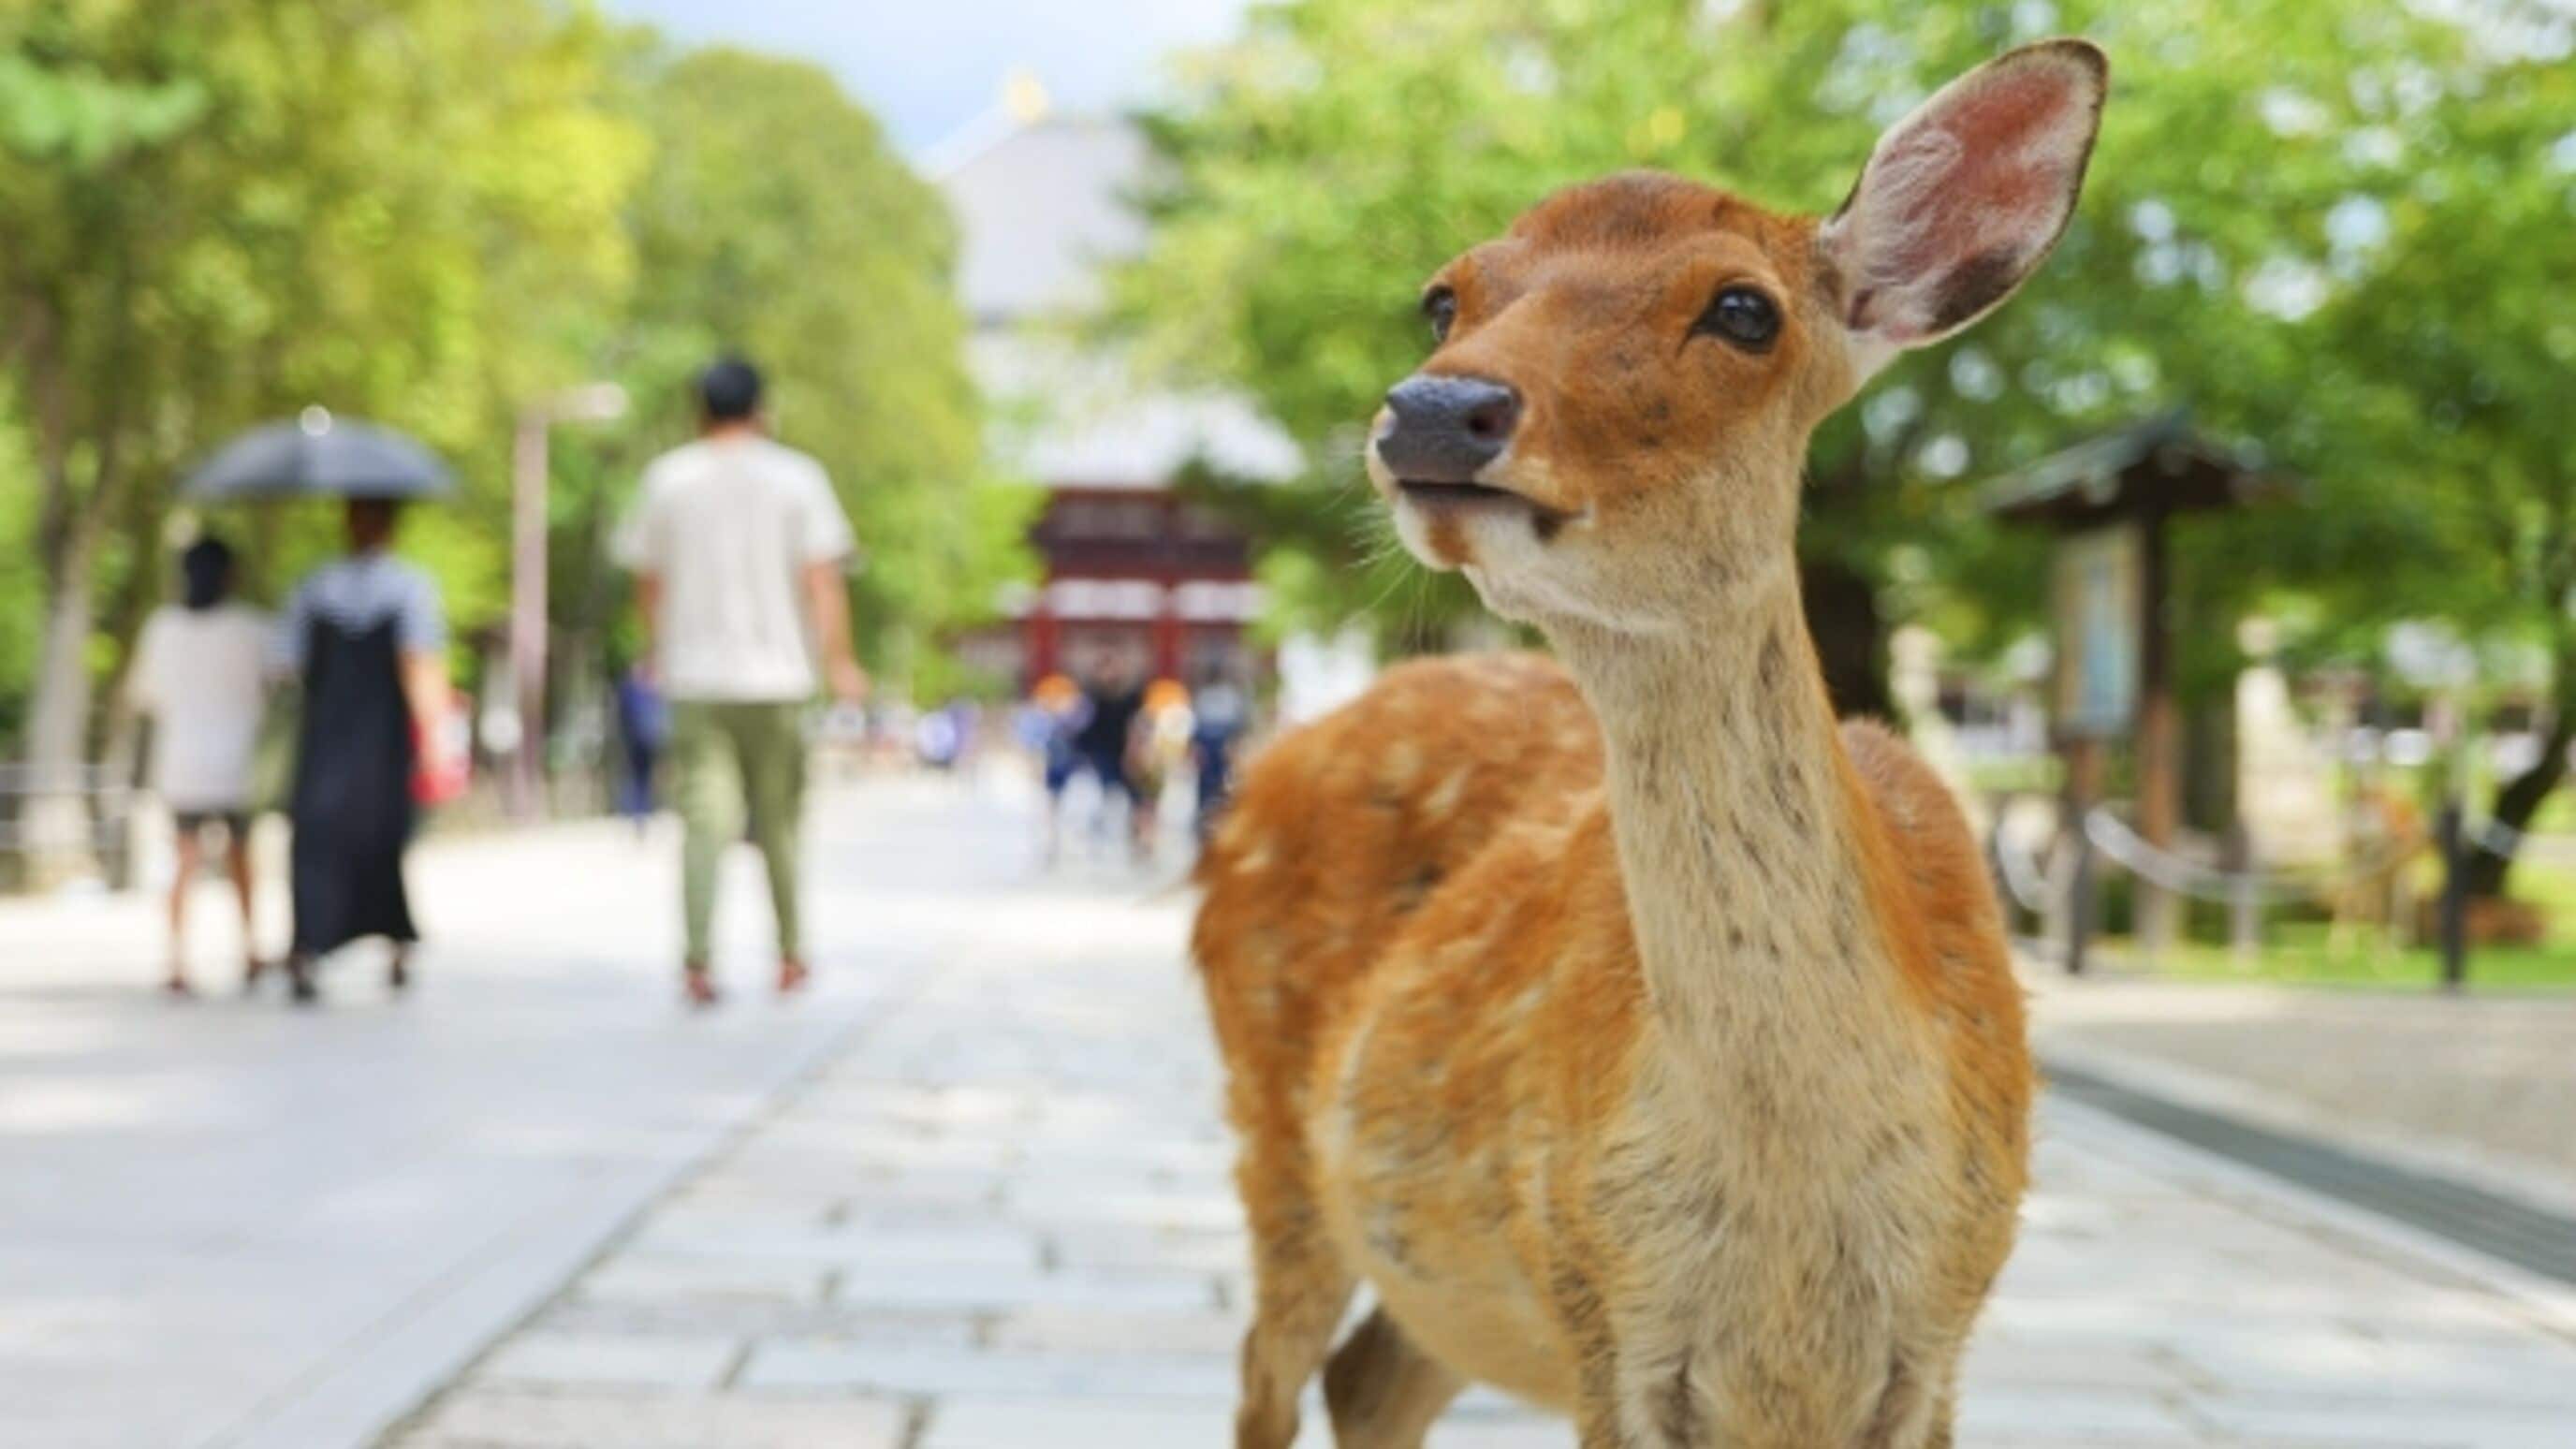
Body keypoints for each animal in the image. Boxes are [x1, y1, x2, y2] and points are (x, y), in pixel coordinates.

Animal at [1191, 40, 2106, 1449]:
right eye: (1444, 296)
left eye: (1744, 309)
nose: (1435, 411)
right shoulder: (1599, 1301)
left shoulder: (1945, 1332)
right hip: (1276, 1128)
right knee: (1270, 1373)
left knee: (1369, 1376)